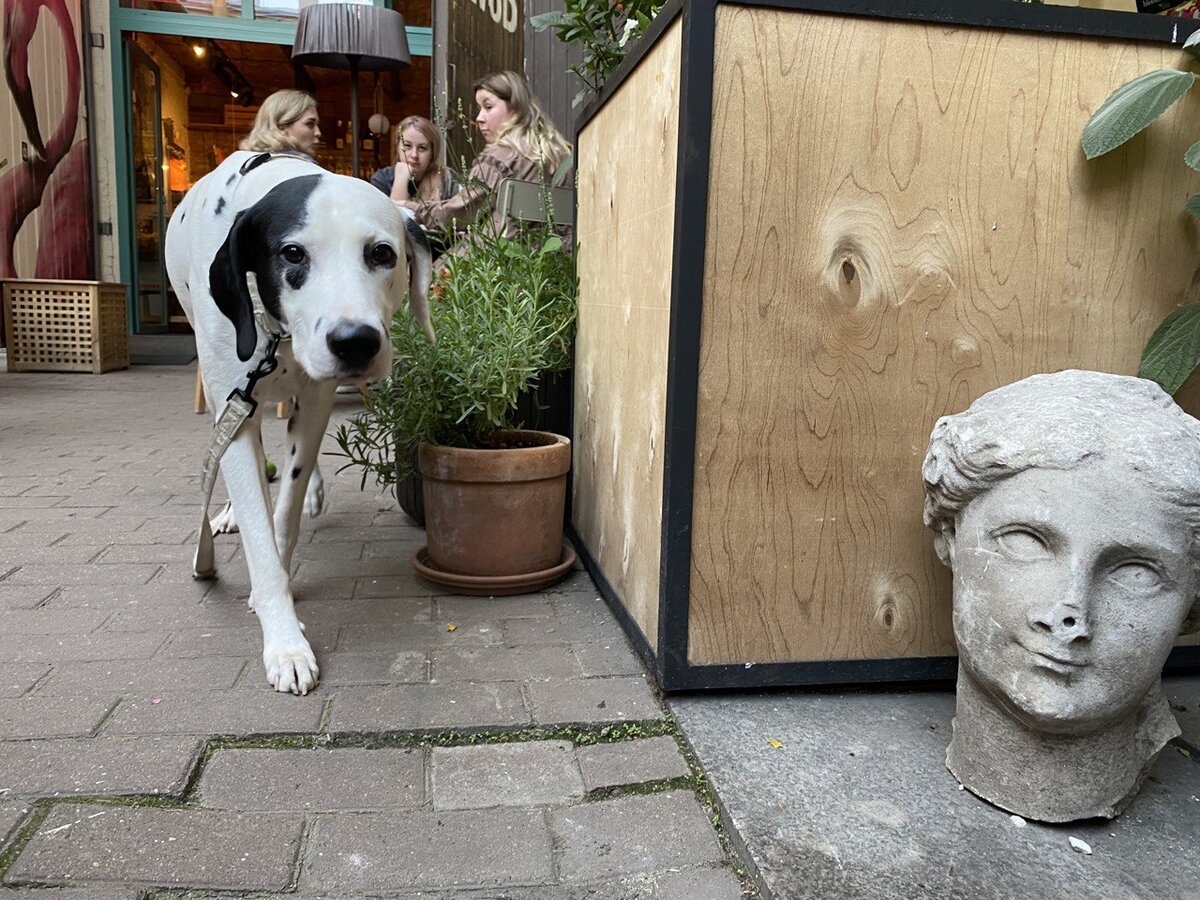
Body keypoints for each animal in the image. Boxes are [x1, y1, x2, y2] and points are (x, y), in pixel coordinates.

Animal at [166, 151, 434, 696]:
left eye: (382, 253)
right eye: (292, 253)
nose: (355, 342)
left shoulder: (313, 402)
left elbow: (284, 514)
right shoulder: (235, 405)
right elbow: (259, 537)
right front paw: (285, 643)